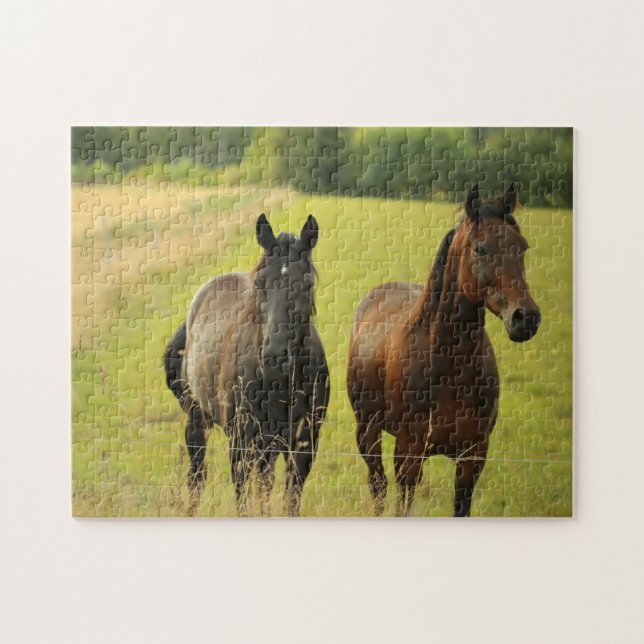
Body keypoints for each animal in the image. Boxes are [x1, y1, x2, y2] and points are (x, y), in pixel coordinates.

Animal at [164, 214, 330, 516]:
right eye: (261, 283)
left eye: (307, 283)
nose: (275, 357)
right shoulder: (243, 439)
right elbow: (243, 495)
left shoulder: (304, 444)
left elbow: (288, 499)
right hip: (198, 421)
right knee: (198, 476)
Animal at [347, 184, 541, 517]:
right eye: (480, 249)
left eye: (523, 247)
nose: (525, 318)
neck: (450, 366)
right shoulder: (409, 453)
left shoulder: (472, 457)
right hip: (368, 432)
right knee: (378, 486)